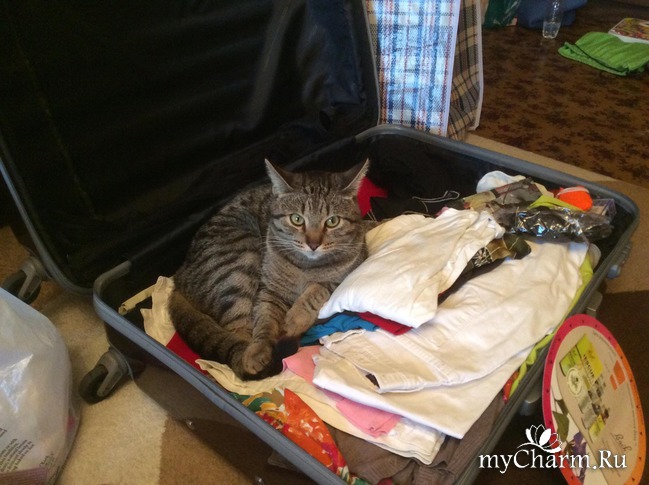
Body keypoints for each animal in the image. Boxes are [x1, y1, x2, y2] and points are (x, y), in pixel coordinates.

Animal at [168, 159, 370, 380]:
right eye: (297, 219)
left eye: (332, 221)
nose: (313, 244)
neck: (305, 266)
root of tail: (178, 277)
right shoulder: (269, 290)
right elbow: (265, 321)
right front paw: (259, 350)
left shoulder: (347, 272)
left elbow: (317, 289)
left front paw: (295, 319)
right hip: (239, 262)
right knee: (237, 338)